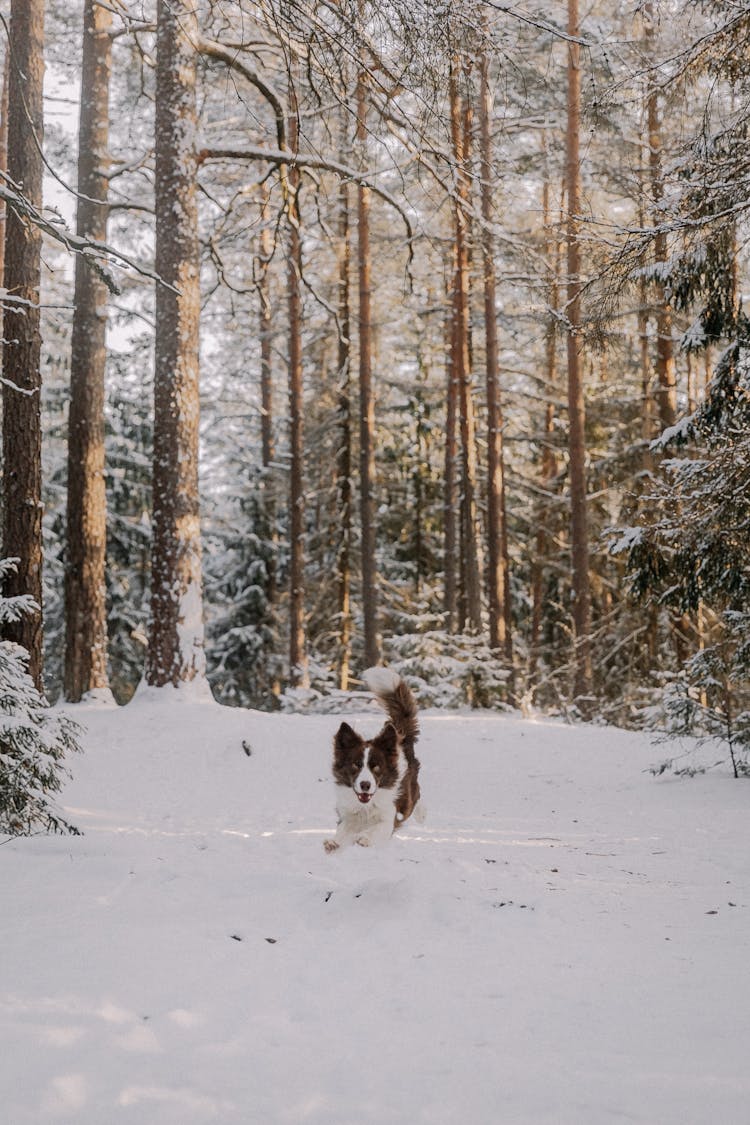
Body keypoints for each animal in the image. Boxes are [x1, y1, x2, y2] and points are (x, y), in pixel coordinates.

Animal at [323, 666, 422, 850]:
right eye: (356, 764)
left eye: (376, 766)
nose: (365, 785)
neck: (366, 805)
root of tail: (400, 735)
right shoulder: (348, 814)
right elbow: (342, 831)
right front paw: (334, 842)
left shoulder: (389, 816)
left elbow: (378, 828)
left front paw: (364, 838)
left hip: (409, 793)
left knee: (416, 798)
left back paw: (421, 814)